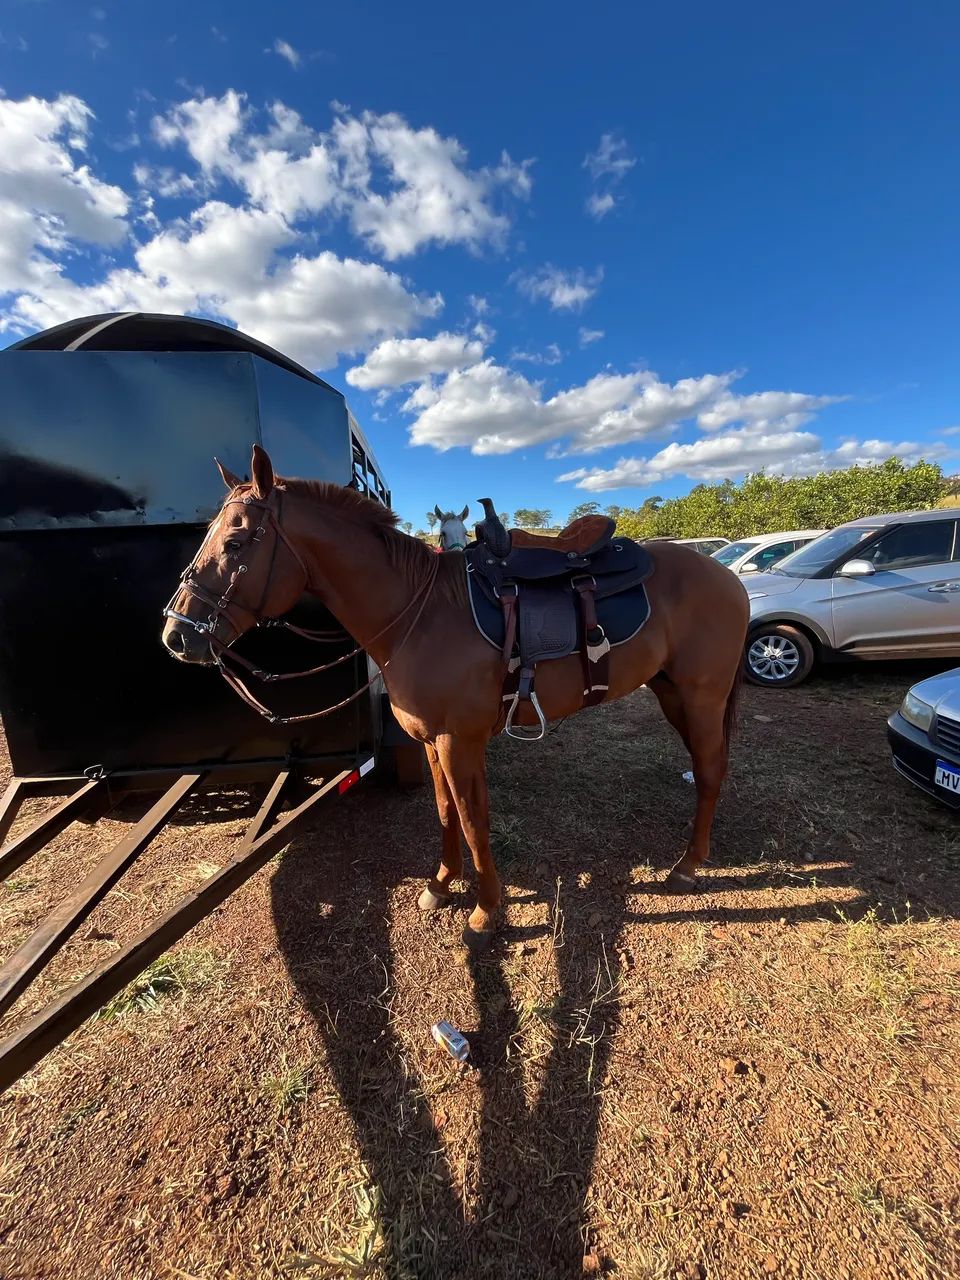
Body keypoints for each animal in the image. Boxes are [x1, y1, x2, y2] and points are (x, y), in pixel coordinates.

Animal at [162, 446, 750, 949]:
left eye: (235, 544)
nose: (177, 636)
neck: (420, 614)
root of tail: (726, 574)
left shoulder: (457, 740)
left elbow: (470, 819)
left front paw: (486, 912)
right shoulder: (431, 740)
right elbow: (447, 813)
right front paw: (443, 885)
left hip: (701, 696)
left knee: (711, 770)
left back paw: (688, 866)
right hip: (672, 693)